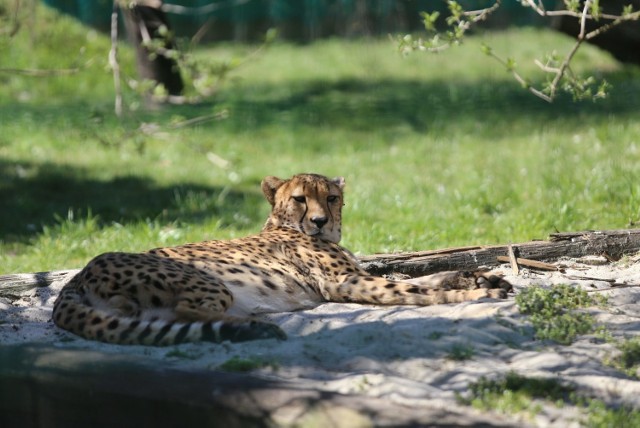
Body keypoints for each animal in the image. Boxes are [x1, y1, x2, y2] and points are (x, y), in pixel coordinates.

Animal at [52, 173, 510, 344]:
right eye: (300, 199)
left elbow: (425, 278)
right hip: (207, 282)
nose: (321, 221)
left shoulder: (357, 274)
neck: (283, 225)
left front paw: (482, 279)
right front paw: (474, 296)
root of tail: (80, 273)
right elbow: (412, 291)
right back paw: (253, 324)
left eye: (331, 197)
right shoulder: (345, 282)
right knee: (186, 313)